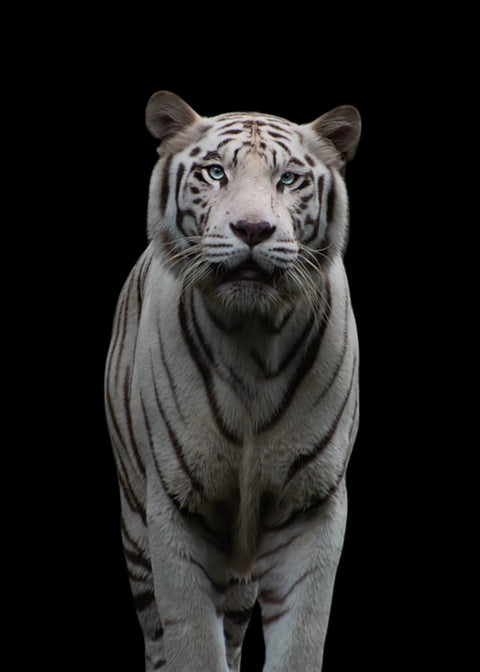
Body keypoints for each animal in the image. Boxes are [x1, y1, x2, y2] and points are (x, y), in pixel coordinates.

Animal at [105, 90, 361, 672]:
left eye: (288, 178)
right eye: (216, 172)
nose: (252, 229)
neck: (253, 341)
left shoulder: (312, 504)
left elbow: (301, 639)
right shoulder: (176, 506)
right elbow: (193, 642)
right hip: (135, 527)